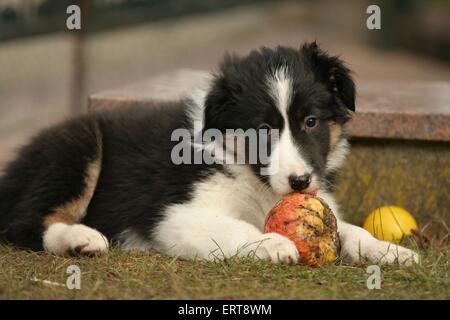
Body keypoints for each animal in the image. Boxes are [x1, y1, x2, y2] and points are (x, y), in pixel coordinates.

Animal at [0, 43, 418, 266]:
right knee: (24, 222)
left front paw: (391, 251)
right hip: (78, 145)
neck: (254, 178)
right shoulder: (177, 216)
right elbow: (233, 227)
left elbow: (350, 229)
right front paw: (272, 243)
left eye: (311, 121)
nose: (299, 181)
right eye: (262, 129)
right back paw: (80, 239)